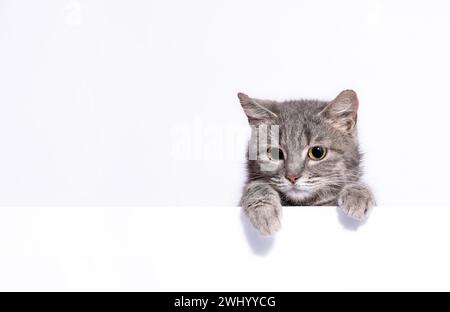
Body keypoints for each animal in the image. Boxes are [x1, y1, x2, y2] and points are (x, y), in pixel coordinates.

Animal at [239, 89, 376, 235]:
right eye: (275, 153)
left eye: (317, 152)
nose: (292, 177)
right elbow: (256, 185)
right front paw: (264, 211)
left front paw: (358, 194)